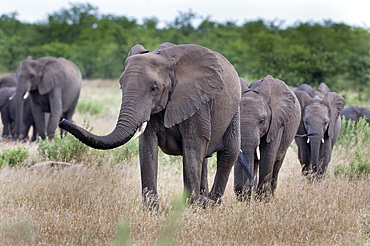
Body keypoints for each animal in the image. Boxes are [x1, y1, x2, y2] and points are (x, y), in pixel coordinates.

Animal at [59, 42, 241, 209]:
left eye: (154, 88)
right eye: (121, 86)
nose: (62, 121)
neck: (166, 60)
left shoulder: (196, 101)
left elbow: (192, 146)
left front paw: (191, 209)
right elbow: (147, 146)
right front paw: (152, 211)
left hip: (235, 109)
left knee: (227, 154)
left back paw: (211, 204)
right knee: (204, 158)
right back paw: (204, 203)